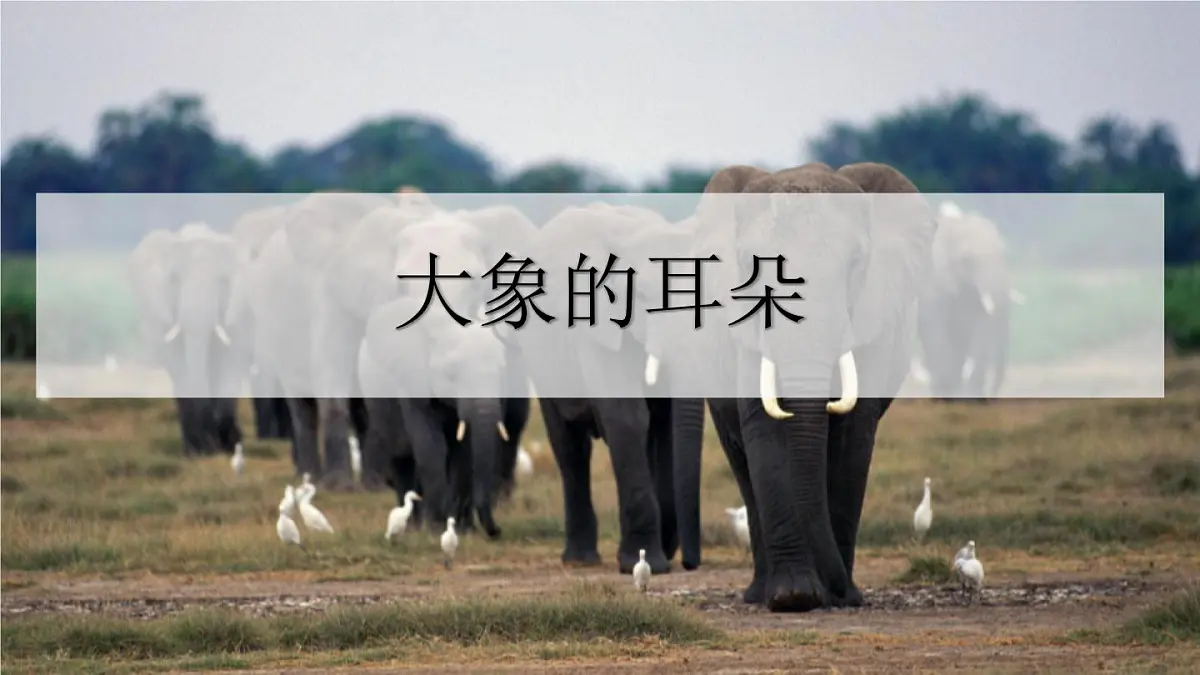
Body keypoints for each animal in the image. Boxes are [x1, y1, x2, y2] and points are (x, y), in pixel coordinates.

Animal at [128, 222, 250, 457]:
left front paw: (227, 446)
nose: (209, 445)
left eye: (223, 281)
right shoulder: (160, 314)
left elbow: (233, 357)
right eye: (174, 280)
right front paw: (198, 451)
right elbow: (177, 363)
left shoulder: (238, 309)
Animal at [671, 161, 938, 612]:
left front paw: (839, 598)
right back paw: (759, 594)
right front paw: (794, 597)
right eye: (747, 265)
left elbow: (852, 434)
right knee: (741, 460)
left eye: (855, 265)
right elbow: (764, 425)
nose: (842, 590)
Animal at [915, 202, 1022, 400]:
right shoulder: (933, 282)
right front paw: (948, 392)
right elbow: (935, 329)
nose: (992, 395)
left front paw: (973, 397)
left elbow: (982, 329)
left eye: (1004, 254)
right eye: (968, 260)